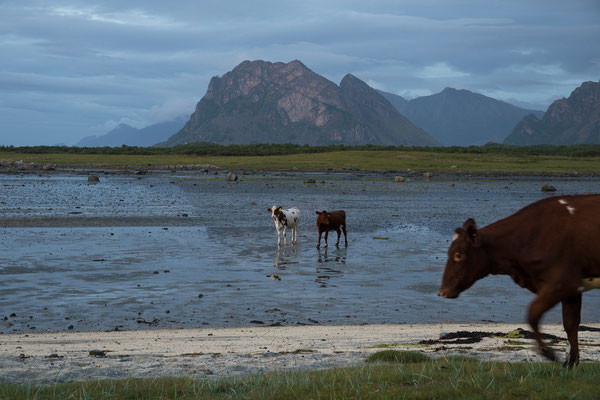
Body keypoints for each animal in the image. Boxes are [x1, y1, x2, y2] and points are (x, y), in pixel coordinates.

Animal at [436, 195, 600, 368]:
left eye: (458, 255)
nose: (442, 291)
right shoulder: (572, 288)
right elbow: (570, 324)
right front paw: (570, 363)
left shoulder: (562, 283)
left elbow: (533, 314)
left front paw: (549, 353)